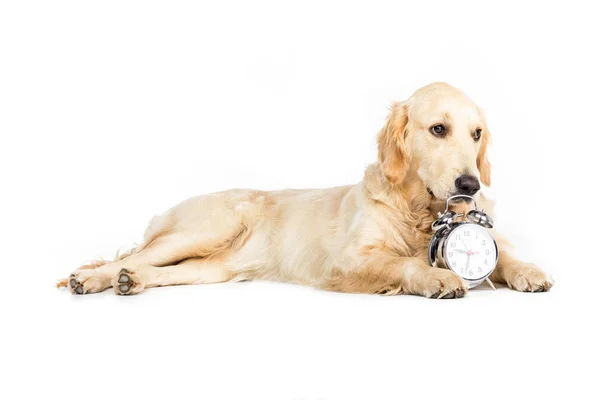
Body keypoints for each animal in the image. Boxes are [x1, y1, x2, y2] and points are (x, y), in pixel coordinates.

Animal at [57, 83, 552, 298]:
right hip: (202, 229)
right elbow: (403, 263)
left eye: (476, 134)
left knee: (153, 269)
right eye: (438, 129)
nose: (470, 184)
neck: (420, 210)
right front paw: (436, 276)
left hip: (211, 268)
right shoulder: (348, 259)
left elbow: (504, 254)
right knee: (134, 256)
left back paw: (131, 281)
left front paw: (527, 270)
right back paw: (92, 278)